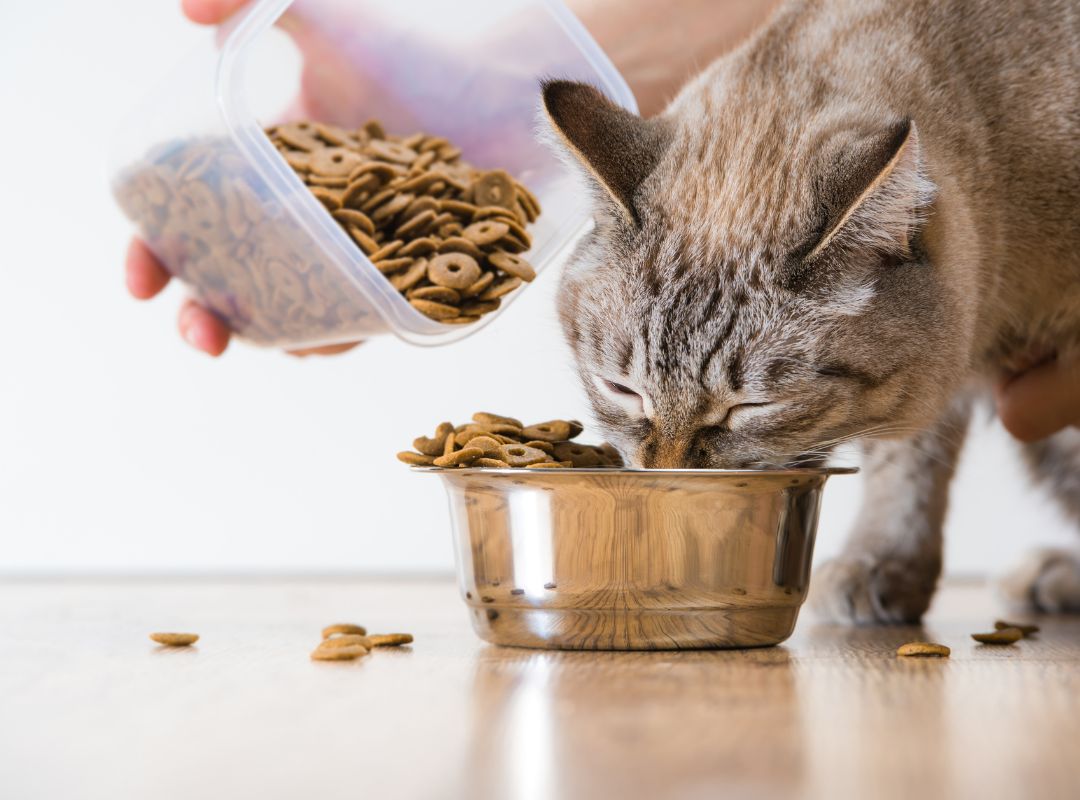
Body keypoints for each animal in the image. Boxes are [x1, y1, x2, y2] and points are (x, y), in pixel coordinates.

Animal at [544, 0, 1080, 621]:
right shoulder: (914, 397)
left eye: (750, 407)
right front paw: (882, 563)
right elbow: (903, 465)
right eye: (621, 390)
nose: (666, 476)